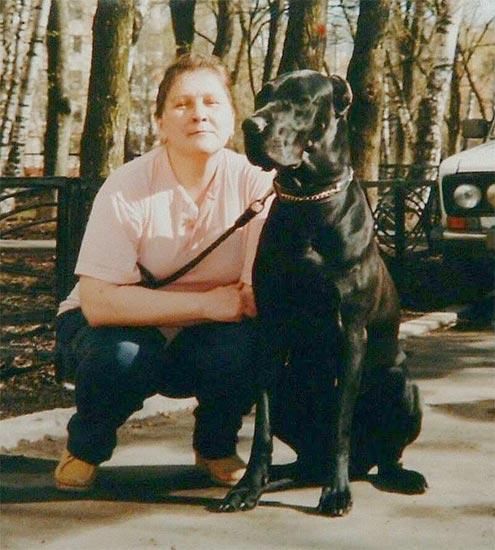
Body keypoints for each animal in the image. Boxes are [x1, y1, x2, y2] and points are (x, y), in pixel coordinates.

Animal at [218, 70, 427, 517]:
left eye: (301, 100)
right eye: (263, 95)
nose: (251, 126)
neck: (308, 202)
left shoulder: (351, 333)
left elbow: (340, 426)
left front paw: (336, 491)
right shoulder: (271, 331)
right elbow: (262, 427)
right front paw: (248, 487)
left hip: (402, 385)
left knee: (387, 455)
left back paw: (399, 477)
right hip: (290, 387)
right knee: (305, 457)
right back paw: (283, 476)